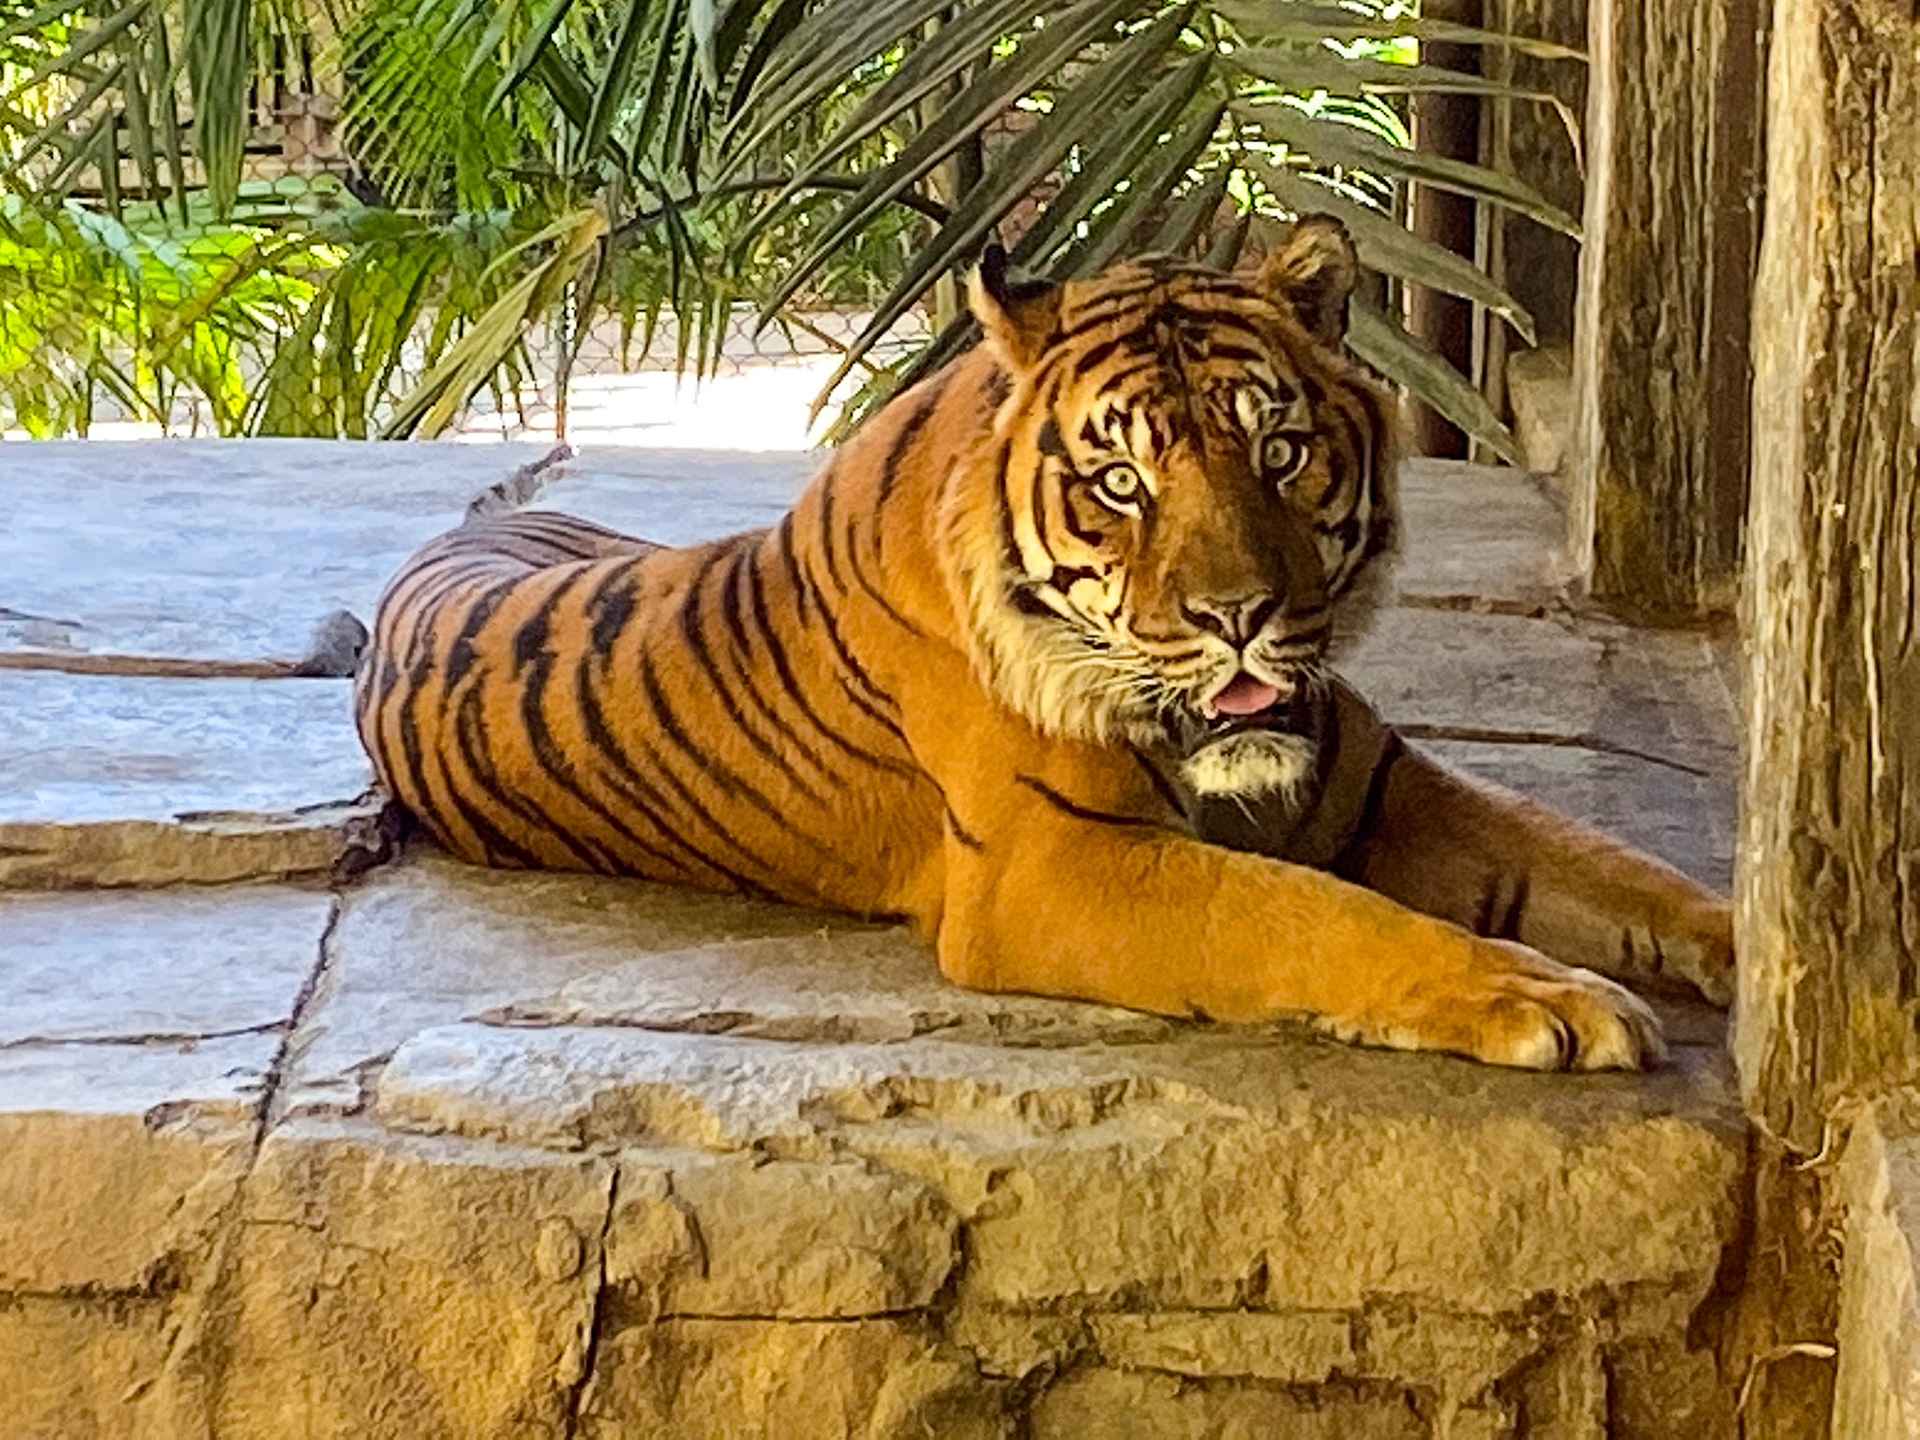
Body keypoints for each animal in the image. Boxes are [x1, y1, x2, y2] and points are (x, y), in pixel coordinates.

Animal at [355, 215, 1733, 1071]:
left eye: (1281, 450)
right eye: (1121, 482)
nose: (1240, 617)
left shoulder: (1383, 787)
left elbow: (1606, 863)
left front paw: (1744, 944)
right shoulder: (1051, 862)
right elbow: (1315, 917)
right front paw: (1541, 997)